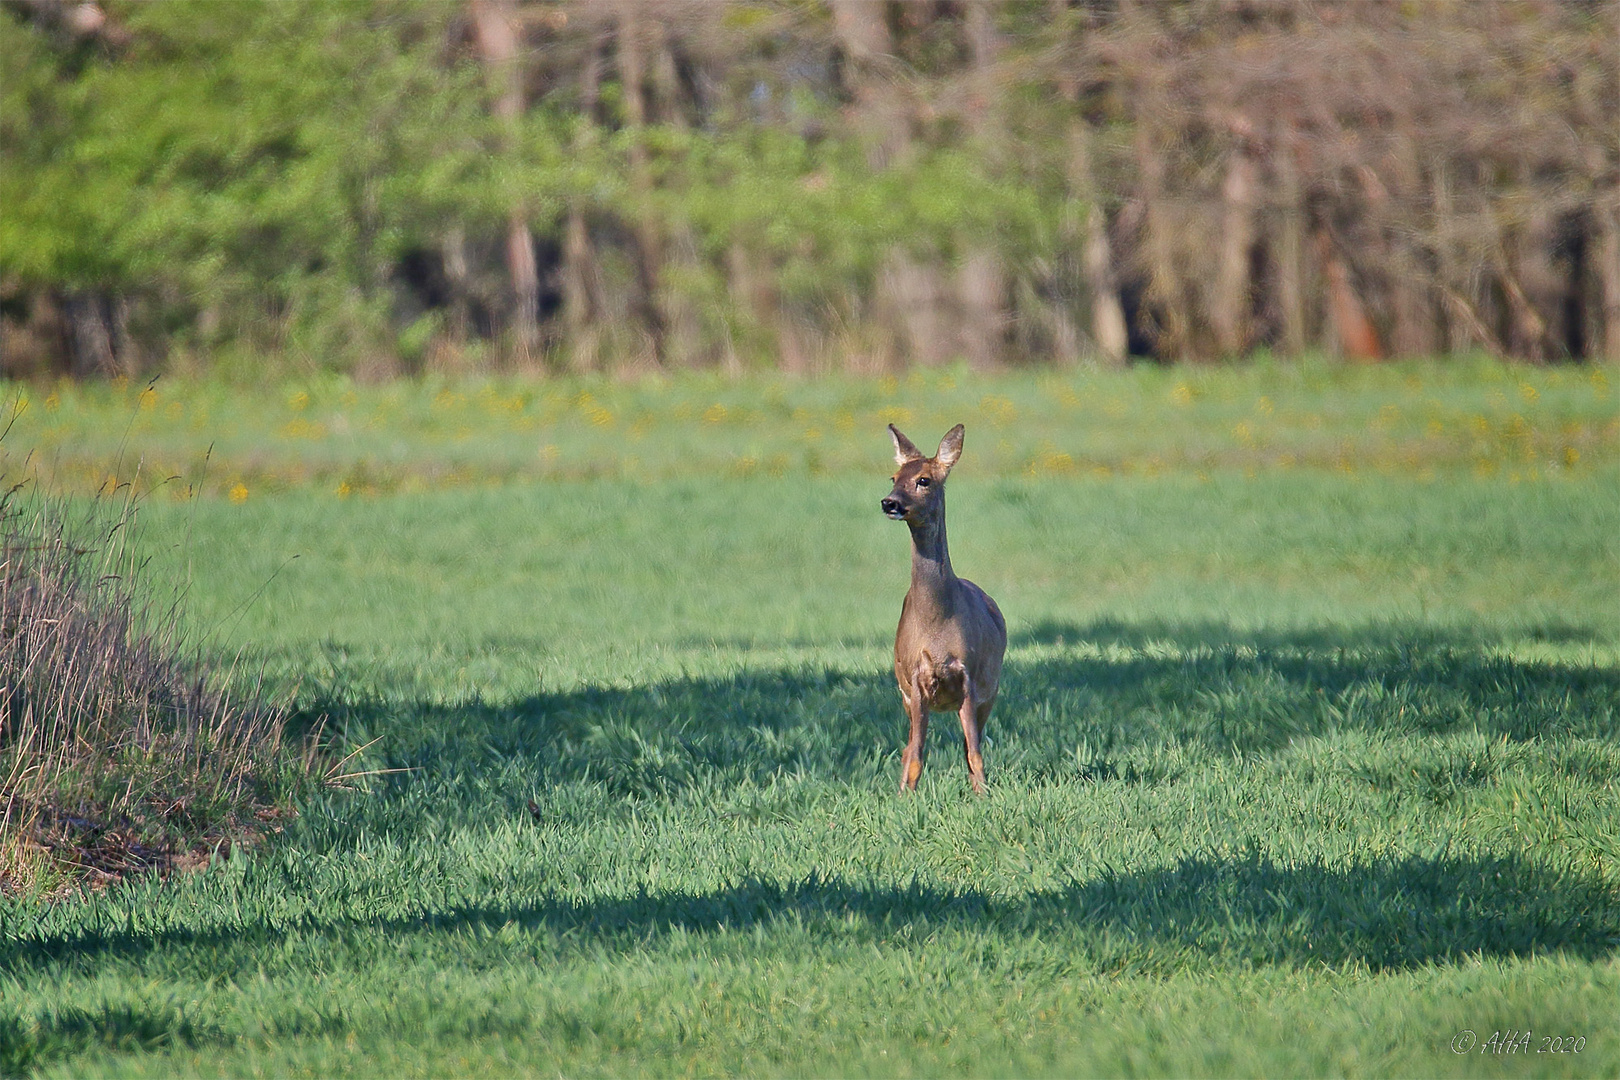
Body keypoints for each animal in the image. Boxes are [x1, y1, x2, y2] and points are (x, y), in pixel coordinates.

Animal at [887, 420, 997, 793]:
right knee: (907, 748)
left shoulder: (969, 677)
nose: (889, 502)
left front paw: (985, 797)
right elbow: (915, 756)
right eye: (893, 477)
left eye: (924, 480)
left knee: (969, 746)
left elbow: (975, 753)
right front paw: (905, 798)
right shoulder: (915, 680)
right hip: (905, 695)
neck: (936, 622)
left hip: (990, 691)